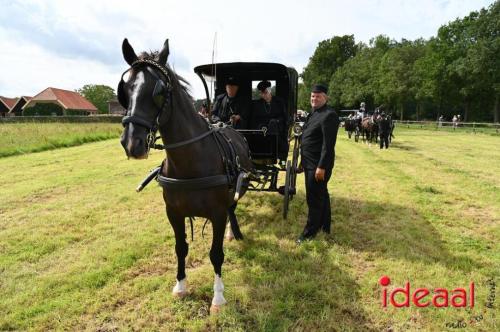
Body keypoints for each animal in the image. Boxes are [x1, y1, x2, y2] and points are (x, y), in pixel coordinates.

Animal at [118, 39, 252, 314]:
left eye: (159, 90)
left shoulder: (217, 214)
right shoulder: (173, 212)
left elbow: (216, 254)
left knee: (233, 207)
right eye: (124, 88)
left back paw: (233, 232)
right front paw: (180, 286)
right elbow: (180, 248)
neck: (190, 161)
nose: (131, 143)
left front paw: (218, 298)